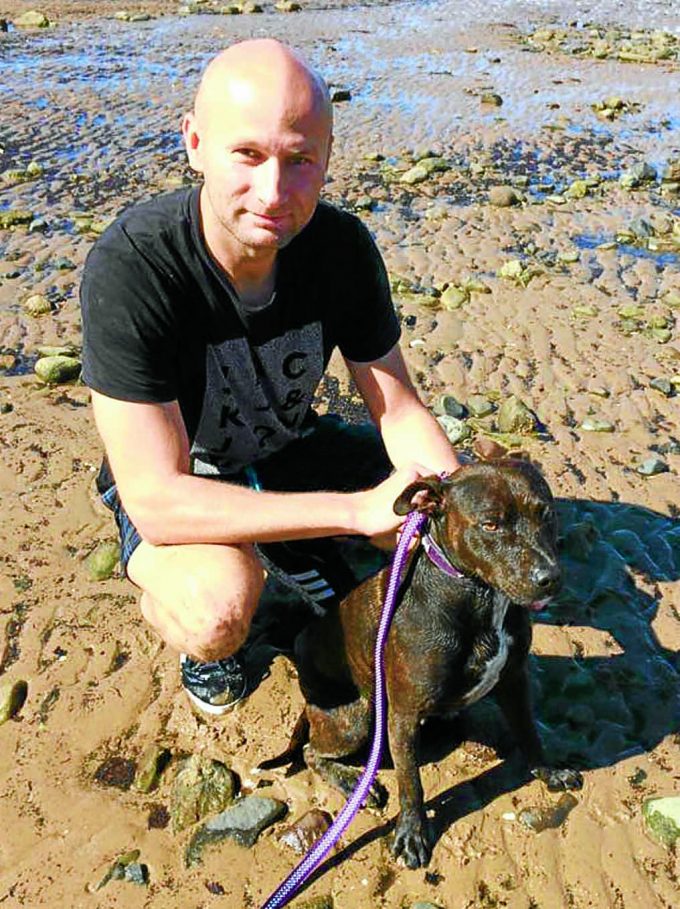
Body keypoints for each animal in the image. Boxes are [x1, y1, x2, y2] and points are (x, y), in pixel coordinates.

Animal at [268, 462, 580, 864]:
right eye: (491, 524)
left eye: (546, 514)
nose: (549, 578)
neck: (480, 597)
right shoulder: (401, 715)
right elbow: (410, 782)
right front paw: (412, 834)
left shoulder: (514, 680)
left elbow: (529, 732)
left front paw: (550, 772)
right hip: (358, 716)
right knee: (311, 752)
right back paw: (355, 783)